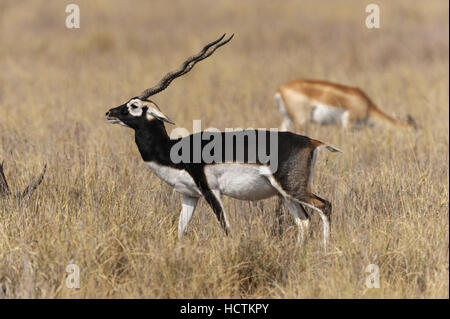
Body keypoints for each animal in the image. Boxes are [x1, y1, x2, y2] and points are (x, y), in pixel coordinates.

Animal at [105, 35, 342, 250]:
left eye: (134, 106)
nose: (109, 112)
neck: (172, 151)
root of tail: (311, 142)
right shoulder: (189, 195)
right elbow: (180, 230)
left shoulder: (211, 191)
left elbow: (226, 228)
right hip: (284, 194)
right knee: (304, 221)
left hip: (292, 188)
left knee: (325, 206)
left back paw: (325, 250)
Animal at [276, 80, 420, 135]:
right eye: (414, 128)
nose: (421, 134)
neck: (368, 107)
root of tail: (280, 90)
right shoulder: (348, 122)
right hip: (301, 121)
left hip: (288, 119)